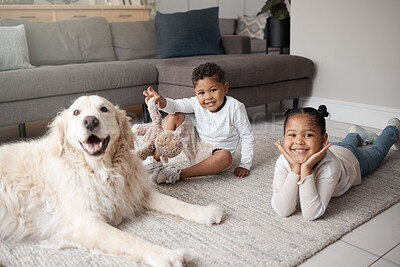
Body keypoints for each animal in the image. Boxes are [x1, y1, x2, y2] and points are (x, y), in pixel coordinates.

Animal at [0, 95, 225, 266]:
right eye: (76, 112)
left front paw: (205, 212)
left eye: (104, 109)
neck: (101, 170)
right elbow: (130, 239)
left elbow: (175, 202)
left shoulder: (133, 192)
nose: (90, 121)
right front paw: (167, 255)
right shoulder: (87, 223)